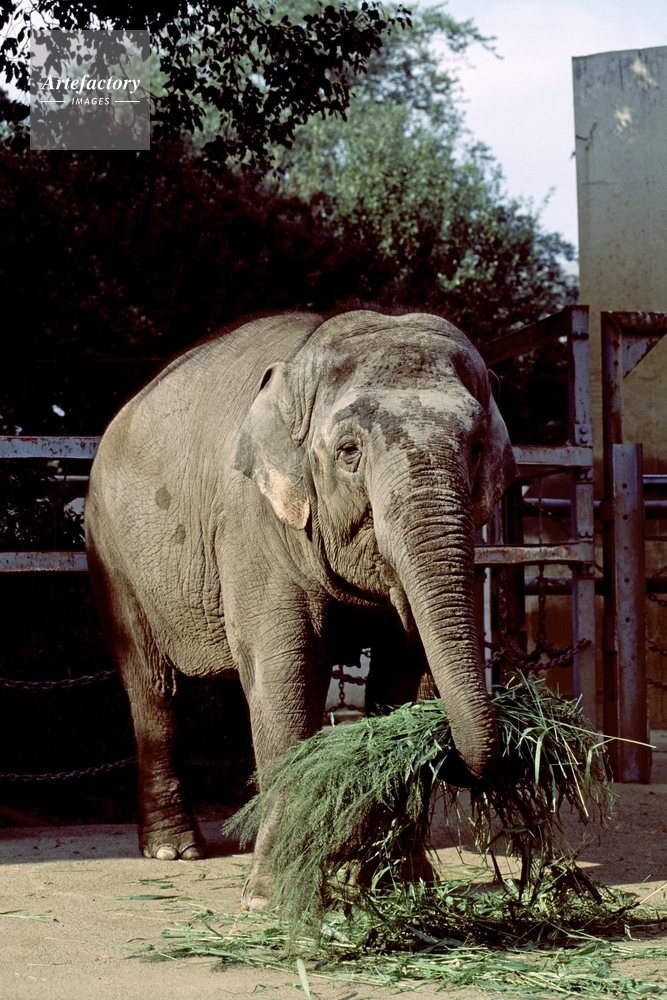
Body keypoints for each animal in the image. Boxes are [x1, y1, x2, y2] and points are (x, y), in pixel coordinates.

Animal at [85, 309, 516, 909]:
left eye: (476, 447)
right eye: (350, 451)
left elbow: (402, 677)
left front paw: (399, 887)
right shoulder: (253, 523)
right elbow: (286, 673)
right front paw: (274, 898)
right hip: (113, 555)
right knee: (153, 686)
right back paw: (176, 851)